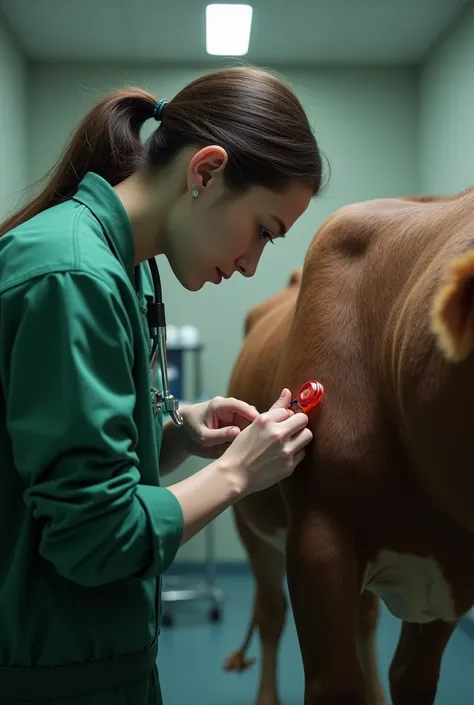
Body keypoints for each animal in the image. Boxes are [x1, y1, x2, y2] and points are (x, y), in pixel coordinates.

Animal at [224, 188, 474, 704]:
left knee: (365, 620)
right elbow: (334, 684)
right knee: (271, 613)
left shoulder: (450, 586)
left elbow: (411, 675)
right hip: (251, 525)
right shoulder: (319, 539)